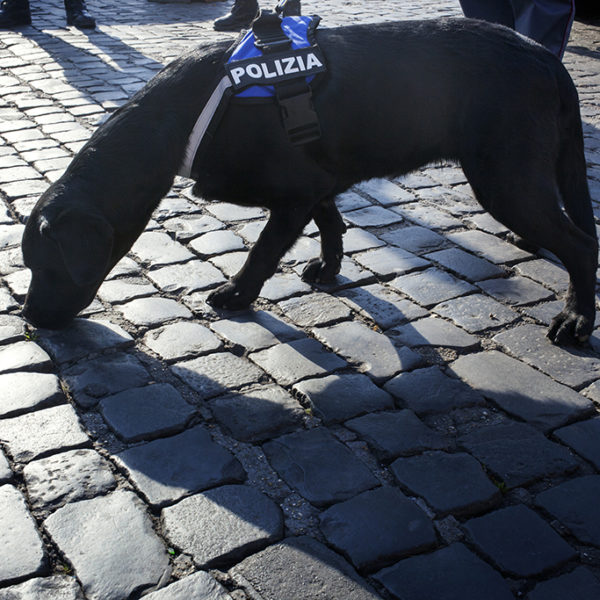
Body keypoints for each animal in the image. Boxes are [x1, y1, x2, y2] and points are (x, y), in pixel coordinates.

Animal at [21, 17, 596, 346]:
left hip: (506, 179)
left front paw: (237, 293)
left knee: (580, 245)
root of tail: (546, 58)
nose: (30, 319)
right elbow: (332, 224)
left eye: (47, 265)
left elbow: (263, 252)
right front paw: (328, 268)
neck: (185, 116)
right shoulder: (315, 183)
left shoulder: (292, 197)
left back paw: (576, 318)